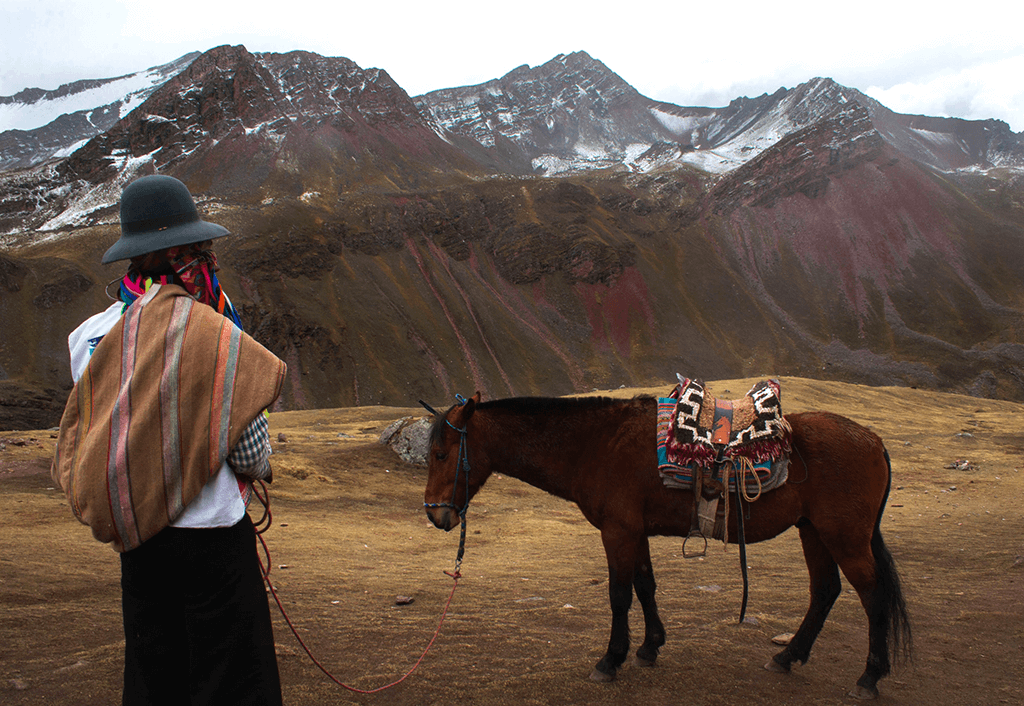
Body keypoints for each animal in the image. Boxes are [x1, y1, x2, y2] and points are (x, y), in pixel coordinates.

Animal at [423, 393, 913, 696]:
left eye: (442, 454)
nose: (435, 514)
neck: (595, 445)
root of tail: (874, 440)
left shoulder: (618, 531)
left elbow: (619, 595)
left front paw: (610, 660)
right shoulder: (633, 531)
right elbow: (645, 586)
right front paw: (649, 647)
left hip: (845, 537)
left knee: (872, 596)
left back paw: (869, 677)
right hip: (813, 531)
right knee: (825, 590)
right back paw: (788, 656)